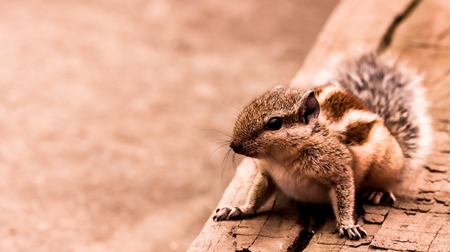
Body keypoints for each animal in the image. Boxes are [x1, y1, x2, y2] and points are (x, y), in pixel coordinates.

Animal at [213, 53, 434, 240]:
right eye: (250, 106)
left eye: (274, 123)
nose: (234, 145)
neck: (282, 157)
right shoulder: (266, 173)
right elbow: (257, 194)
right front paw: (240, 209)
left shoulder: (338, 168)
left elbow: (344, 195)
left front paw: (347, 225)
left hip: (388, 164)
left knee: (391, 180)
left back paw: (378, 192)